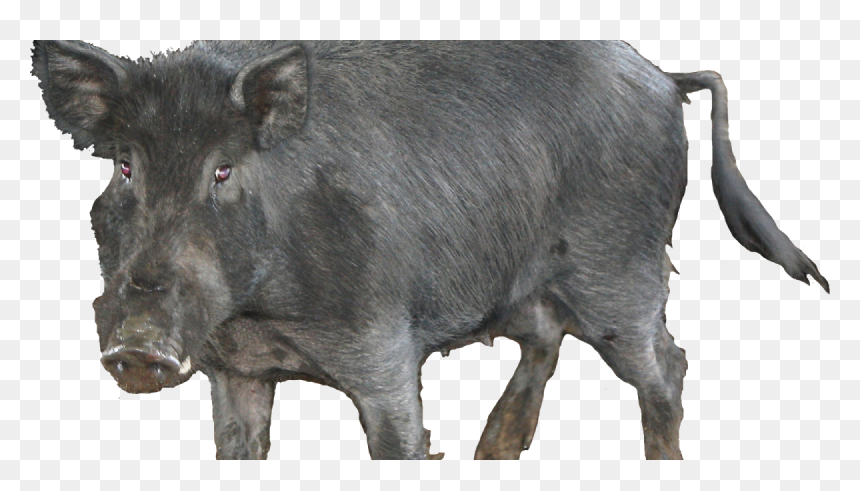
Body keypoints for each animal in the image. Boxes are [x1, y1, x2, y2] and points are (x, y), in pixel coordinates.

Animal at [31, 40, 828, 460]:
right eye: (124, 165)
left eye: (222, 170)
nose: (138, 346)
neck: (260, 317)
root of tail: (665, 78)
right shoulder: (235, 368)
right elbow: (240, 445)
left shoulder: (384, 347)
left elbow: (399, 438)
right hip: (527, 280)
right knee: (547, 338)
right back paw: (492, 451)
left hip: (622, 270)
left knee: (666, 363)